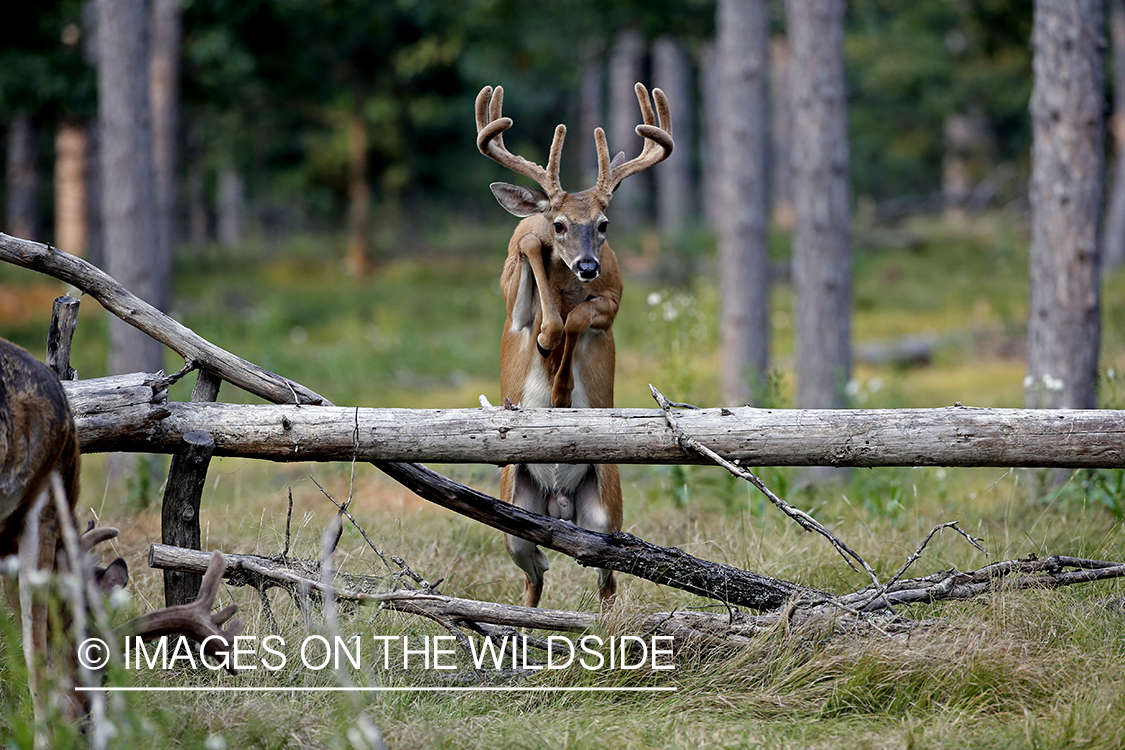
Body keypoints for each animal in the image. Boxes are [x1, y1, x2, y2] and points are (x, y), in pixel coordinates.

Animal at [472, 82, 670, 611]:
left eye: (604, 224)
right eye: (559, 223)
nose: (586, 265)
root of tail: (557, 502)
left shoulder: (614, 300)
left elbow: (577, 318)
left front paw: (560, 386)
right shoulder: (513, 299)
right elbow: (529, 251)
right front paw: (545, 339)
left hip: (605, 509)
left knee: (605, 579)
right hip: (514, 512)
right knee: (535, 572)